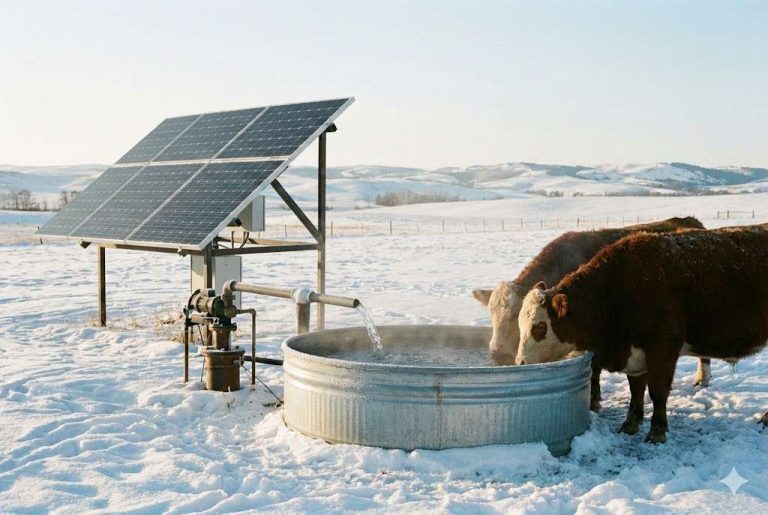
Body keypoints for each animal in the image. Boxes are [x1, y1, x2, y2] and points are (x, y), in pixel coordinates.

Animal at [472, 216, 707, 411]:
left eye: (514, 316)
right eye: (491, 314)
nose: (495, 348)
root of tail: (688, 221)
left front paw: (594, 400)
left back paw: (702, 379)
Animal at [515, 225, 768, 443]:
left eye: (539, 327)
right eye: (519, 324)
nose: (520, 362)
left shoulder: (663, 347)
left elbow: (657, 391)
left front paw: (657, 431)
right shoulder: (635, 351)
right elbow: (636, 388)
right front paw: (631, 423)